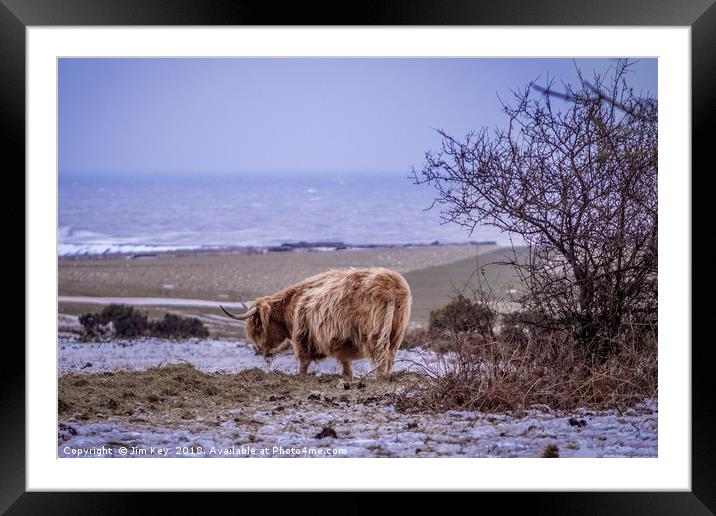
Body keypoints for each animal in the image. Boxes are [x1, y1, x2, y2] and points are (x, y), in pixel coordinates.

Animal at [224, 268, 414, 376]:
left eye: (257, 327)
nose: (261, 350)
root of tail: (391, 287)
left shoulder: (302, 337)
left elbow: (303, 363)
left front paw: (301, 379)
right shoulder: (343, 344)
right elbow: (346, 366)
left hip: (375, 332)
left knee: (381, 356)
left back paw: (379, 378)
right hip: (397, 333)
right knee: (390, 356)